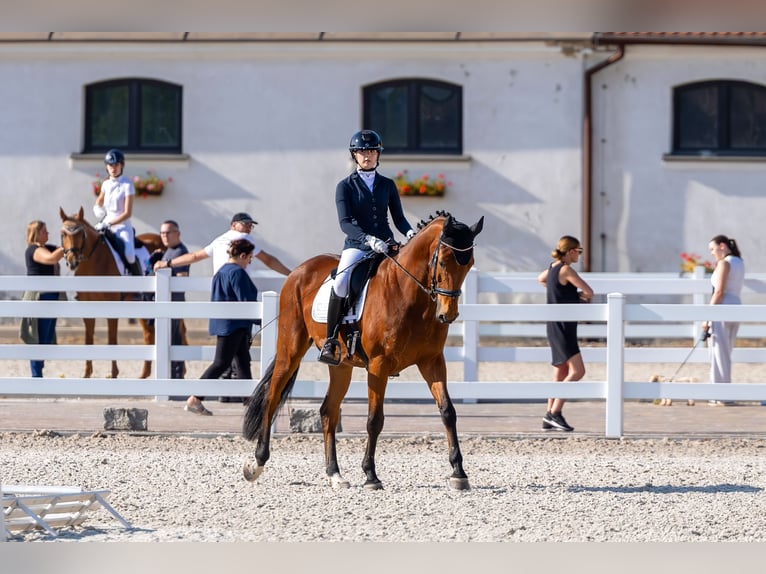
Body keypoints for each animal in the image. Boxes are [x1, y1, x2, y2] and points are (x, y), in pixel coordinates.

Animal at [58, 206, 169, 379]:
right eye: (63, 234)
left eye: (81, 234)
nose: (72, 261)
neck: (94, 262)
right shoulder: (87, 309)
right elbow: (88, 340)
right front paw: (86, 374)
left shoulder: (112, 308)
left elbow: (112, 340)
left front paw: (114, 373)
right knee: (149, 334)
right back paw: (144, 374)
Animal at [242, 211, 484, 490]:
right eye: (443, 262)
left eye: (469, 264)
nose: (448, 315)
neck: (408, 293)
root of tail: (299, 271)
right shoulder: (379, 365)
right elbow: (374, 419)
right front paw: (370, 475)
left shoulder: (432, 361)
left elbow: (448, 412)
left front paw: (459, 472)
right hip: (290, 351)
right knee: (272, 398)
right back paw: (257, 463)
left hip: (341, 366)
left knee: (328, 411)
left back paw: (334, 474)